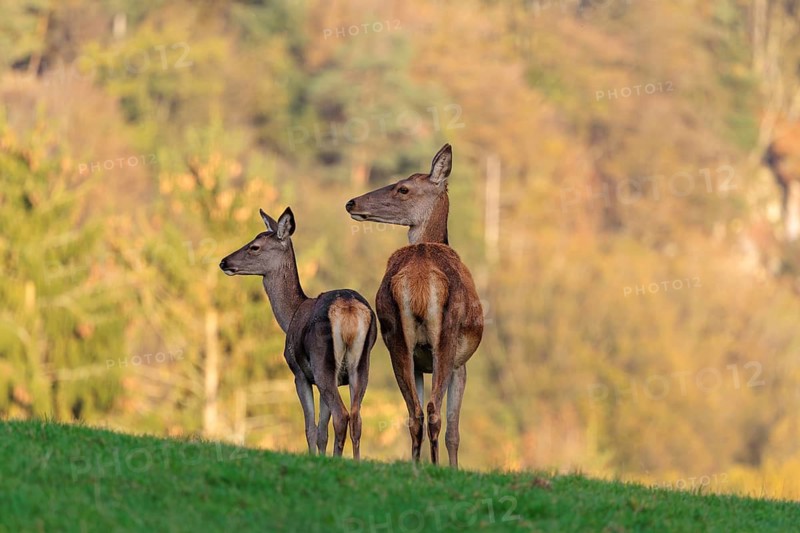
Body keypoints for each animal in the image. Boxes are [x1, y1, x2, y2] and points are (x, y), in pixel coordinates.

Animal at [219, 207, 377, 459]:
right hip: (361, 364)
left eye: (255, 246)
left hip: (322, 363)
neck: (291, 315)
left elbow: (310, 428)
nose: (224, 262)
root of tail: (348, 308)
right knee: (356, 418)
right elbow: (322, 430)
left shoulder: (300, 373)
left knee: (341, 415)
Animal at [345, 144, 483, 468]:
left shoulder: (421, 362)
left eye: (403, 188)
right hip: (446, 337)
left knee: (415, 413)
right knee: (432, 411)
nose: (351, 202)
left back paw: (417, 465)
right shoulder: (461, 363)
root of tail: (418, 278)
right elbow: (454, 432)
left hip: (395, 337)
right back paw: (433, 466)